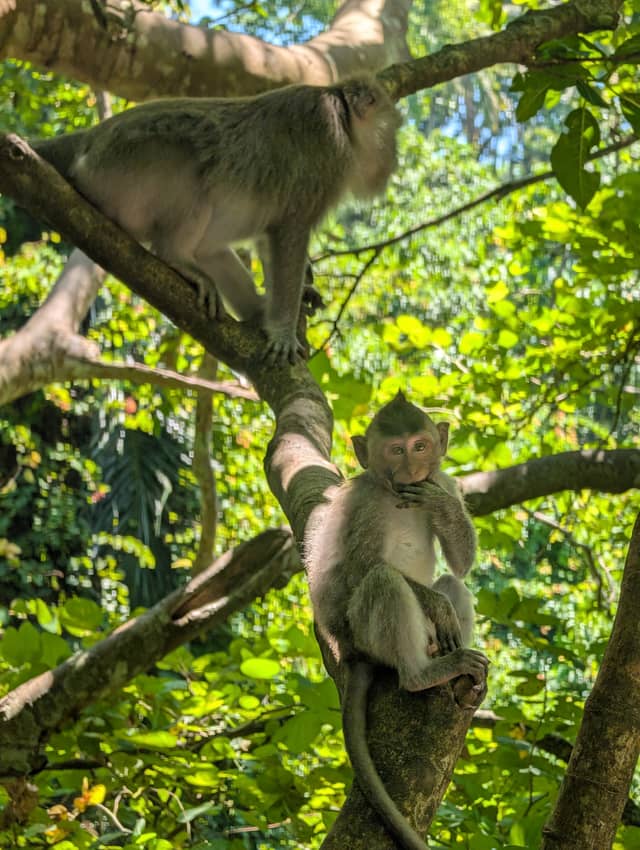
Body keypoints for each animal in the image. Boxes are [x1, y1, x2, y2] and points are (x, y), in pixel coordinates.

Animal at [32, 78, 400, 365]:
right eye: (393, 128)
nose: (394, 159)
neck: (342, 118)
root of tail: (88, 138)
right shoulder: (327, 150)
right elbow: (289, 232)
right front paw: (282, 331)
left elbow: (269, 239)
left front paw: (286, 305)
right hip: (120, 165)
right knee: (195, 168)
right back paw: (176, 257)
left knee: (210, 249)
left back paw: (255, 311)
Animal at [304, 391, 489, 850]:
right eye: (395, 450)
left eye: (420, 446)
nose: (412, 468)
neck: (394, 493)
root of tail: (351, 652)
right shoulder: (363, 505)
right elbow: (361, 568)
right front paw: (436, 605)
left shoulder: (446, 482)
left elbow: (461, 564)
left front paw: (438, 504)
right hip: (362, 633)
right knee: (383, 581)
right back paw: (423, 673)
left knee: (452, 583)